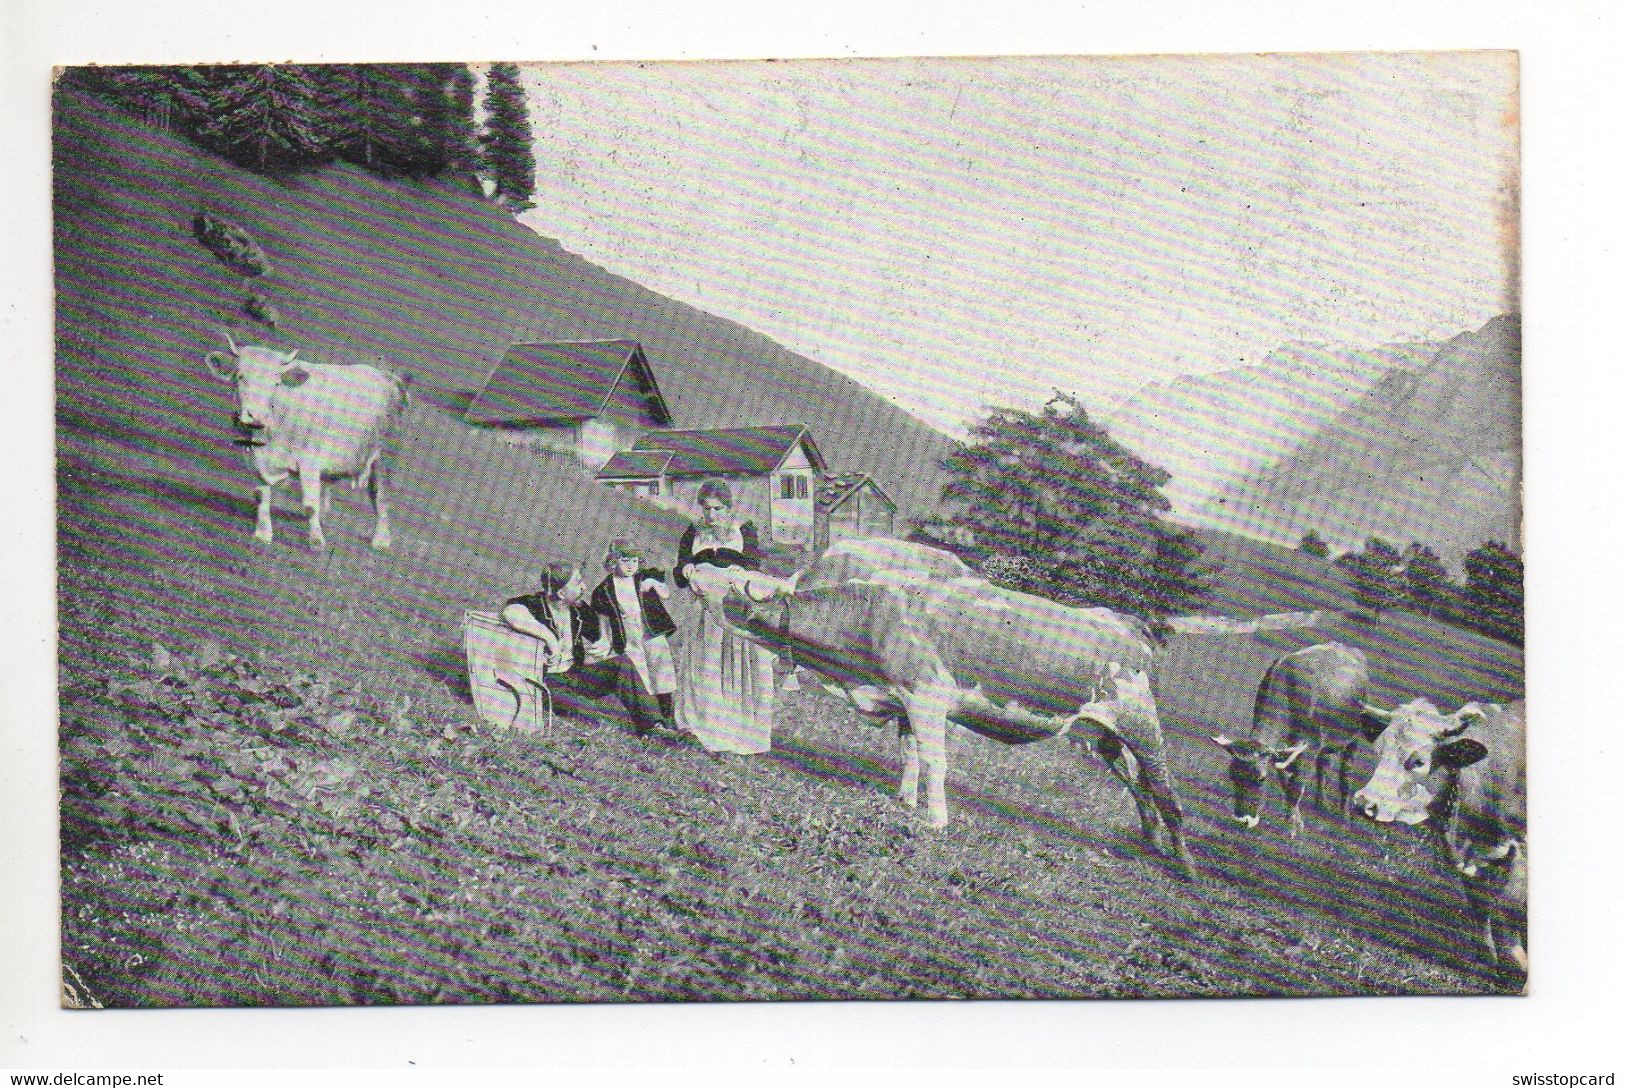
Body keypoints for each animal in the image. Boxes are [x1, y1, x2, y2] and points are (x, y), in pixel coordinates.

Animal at [203, 334, 409, 555]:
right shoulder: (254, 459)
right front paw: (263, 534)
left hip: (383, 457)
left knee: (380, 495)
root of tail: (383, 374)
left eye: (277, 383)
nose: (256, 415)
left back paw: (381, 539)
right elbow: (261, 495)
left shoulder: (309, 461)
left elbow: (310, 505)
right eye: (240, 377)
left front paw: (316, 542)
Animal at [718, 571, 1202, 883]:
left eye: (733, 608)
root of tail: (1128, 622)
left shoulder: (926, 697)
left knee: (1165, 790)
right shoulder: (906, 703)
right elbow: (910, 754)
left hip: (1141, 721)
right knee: (1140, 786)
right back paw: (1151, 842)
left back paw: (1185, 865)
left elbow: (936, 762)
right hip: (1106, 737)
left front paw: (936, 819)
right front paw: (906, 801)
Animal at [1209, 643, 1371, 837]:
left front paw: (1291, 829)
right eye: (1232, 775)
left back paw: (1345, 820)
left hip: (1354, 737)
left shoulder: (1309, 746)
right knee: (1324, 765)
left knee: (1346, 775)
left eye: (1262, 778)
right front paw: (1294, 820)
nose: (1244, 820)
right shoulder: (1282, 750)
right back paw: (1320, 806)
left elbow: (1296, 785)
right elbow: (1285, 781)